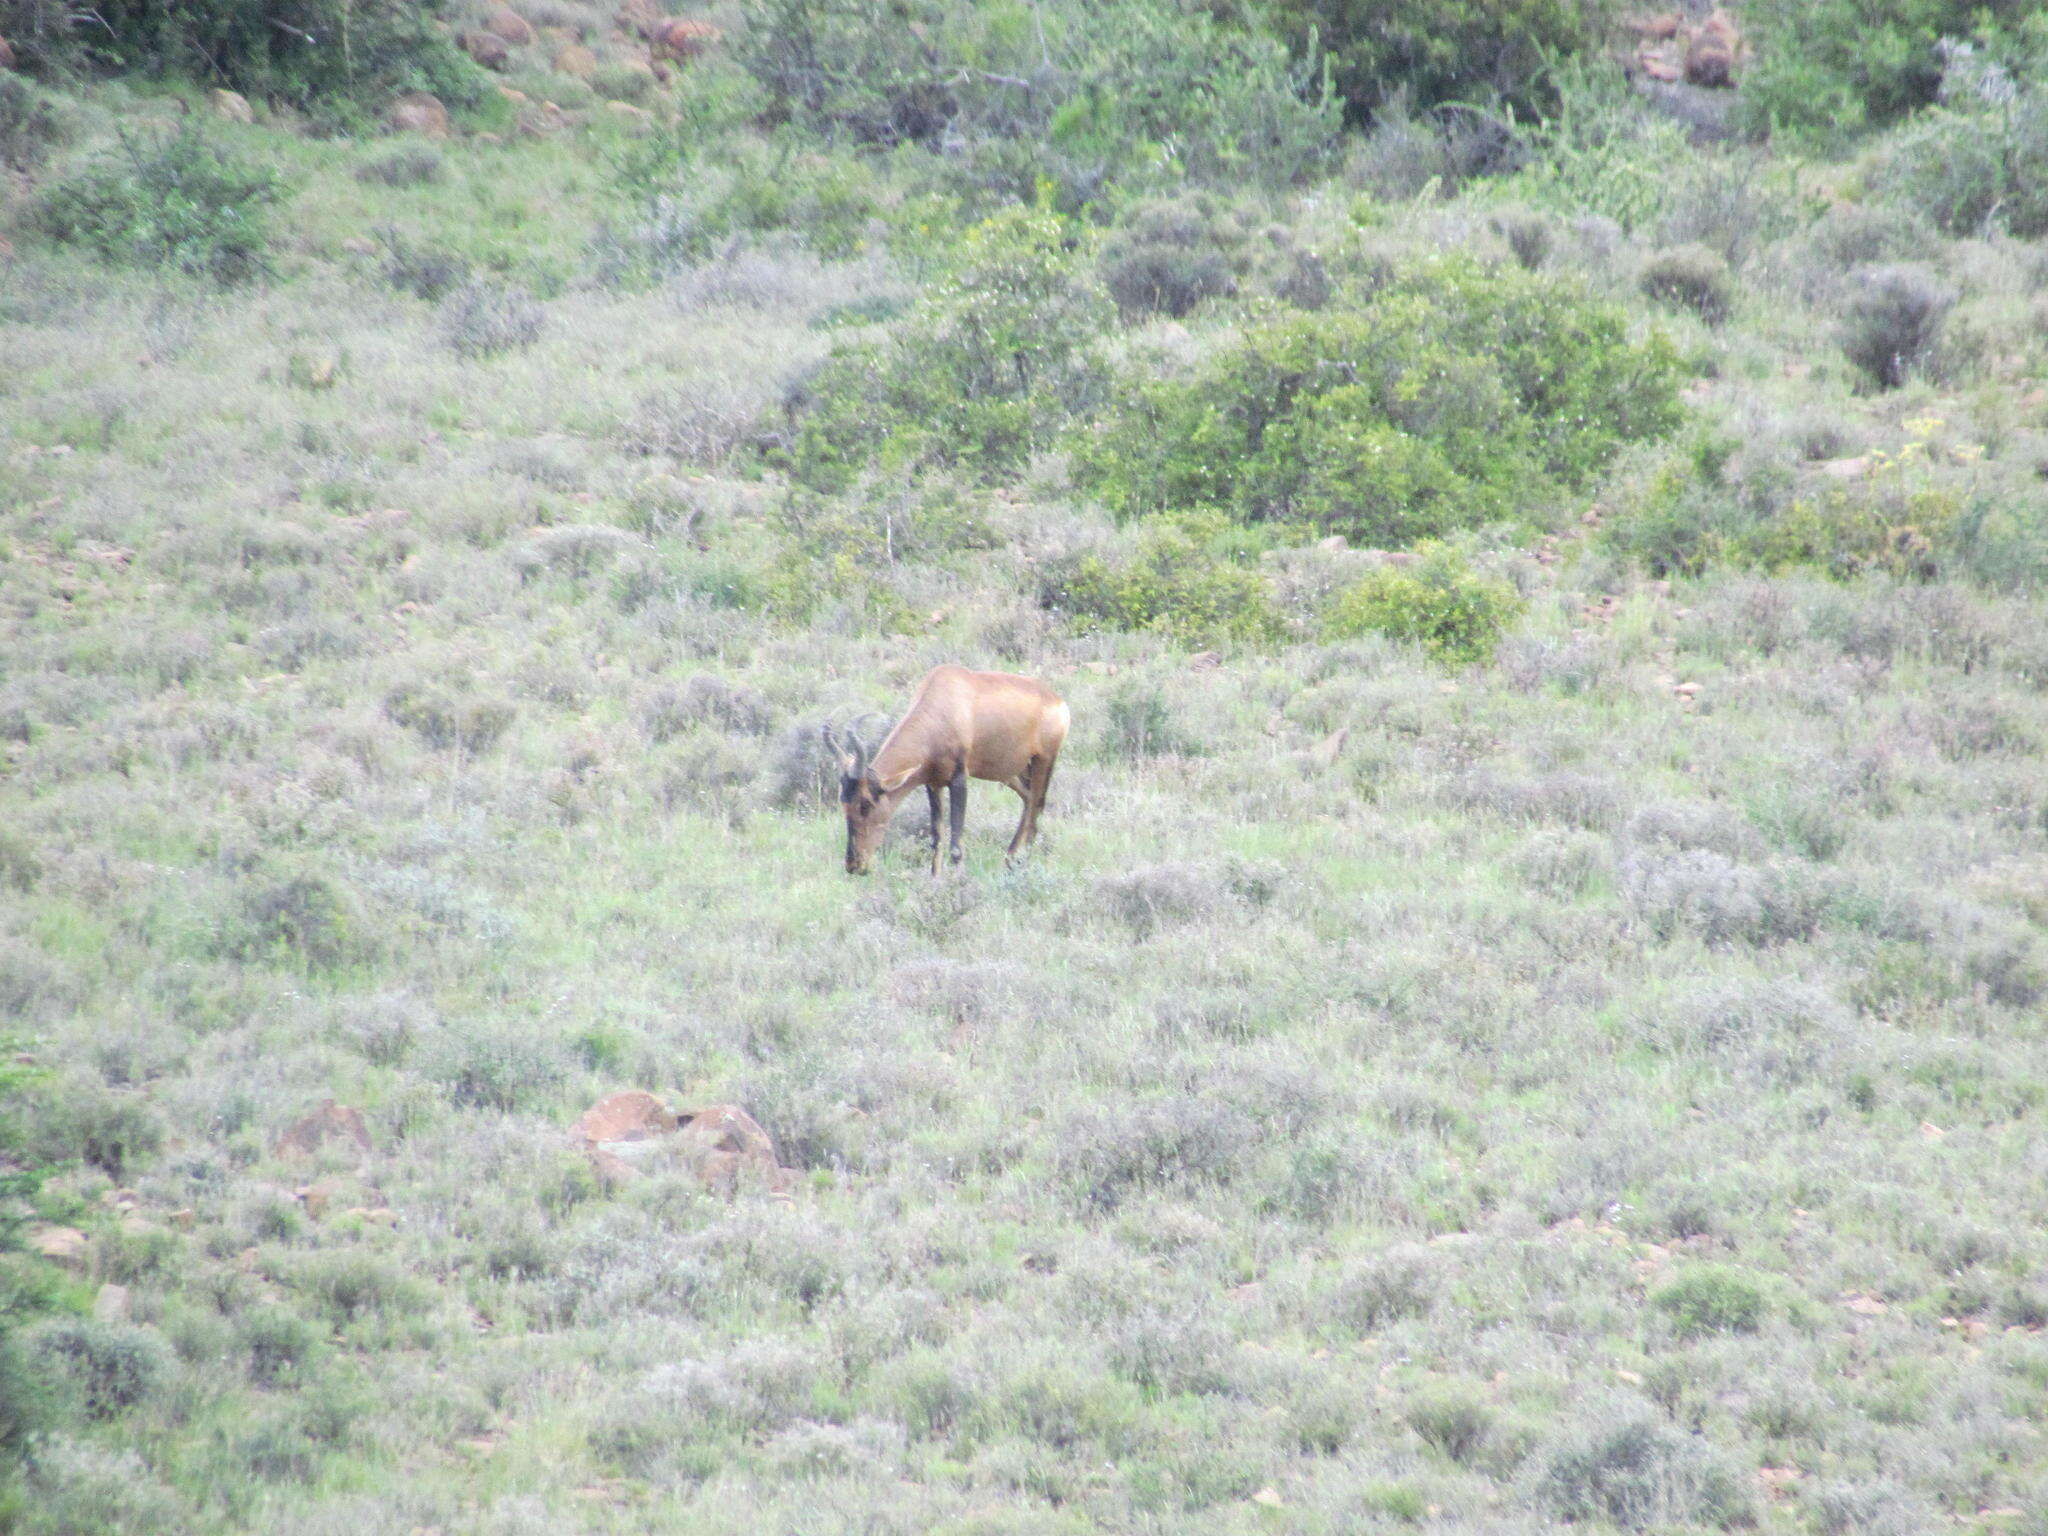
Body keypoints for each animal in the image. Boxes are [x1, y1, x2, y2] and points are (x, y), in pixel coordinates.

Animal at [823, 671, 1073, 876]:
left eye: (865, 804)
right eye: (843, 803)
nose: (854, 865)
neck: (942, 703)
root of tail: (1056, 699)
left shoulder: (959, 779)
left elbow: (956, 844)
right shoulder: (932, 783)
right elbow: (936, 838)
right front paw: (935, 880)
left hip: (1044, 760)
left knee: (1037, 805)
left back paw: (1022, 864)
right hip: (1011, 770)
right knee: (1028, 799)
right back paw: (1010, 859)